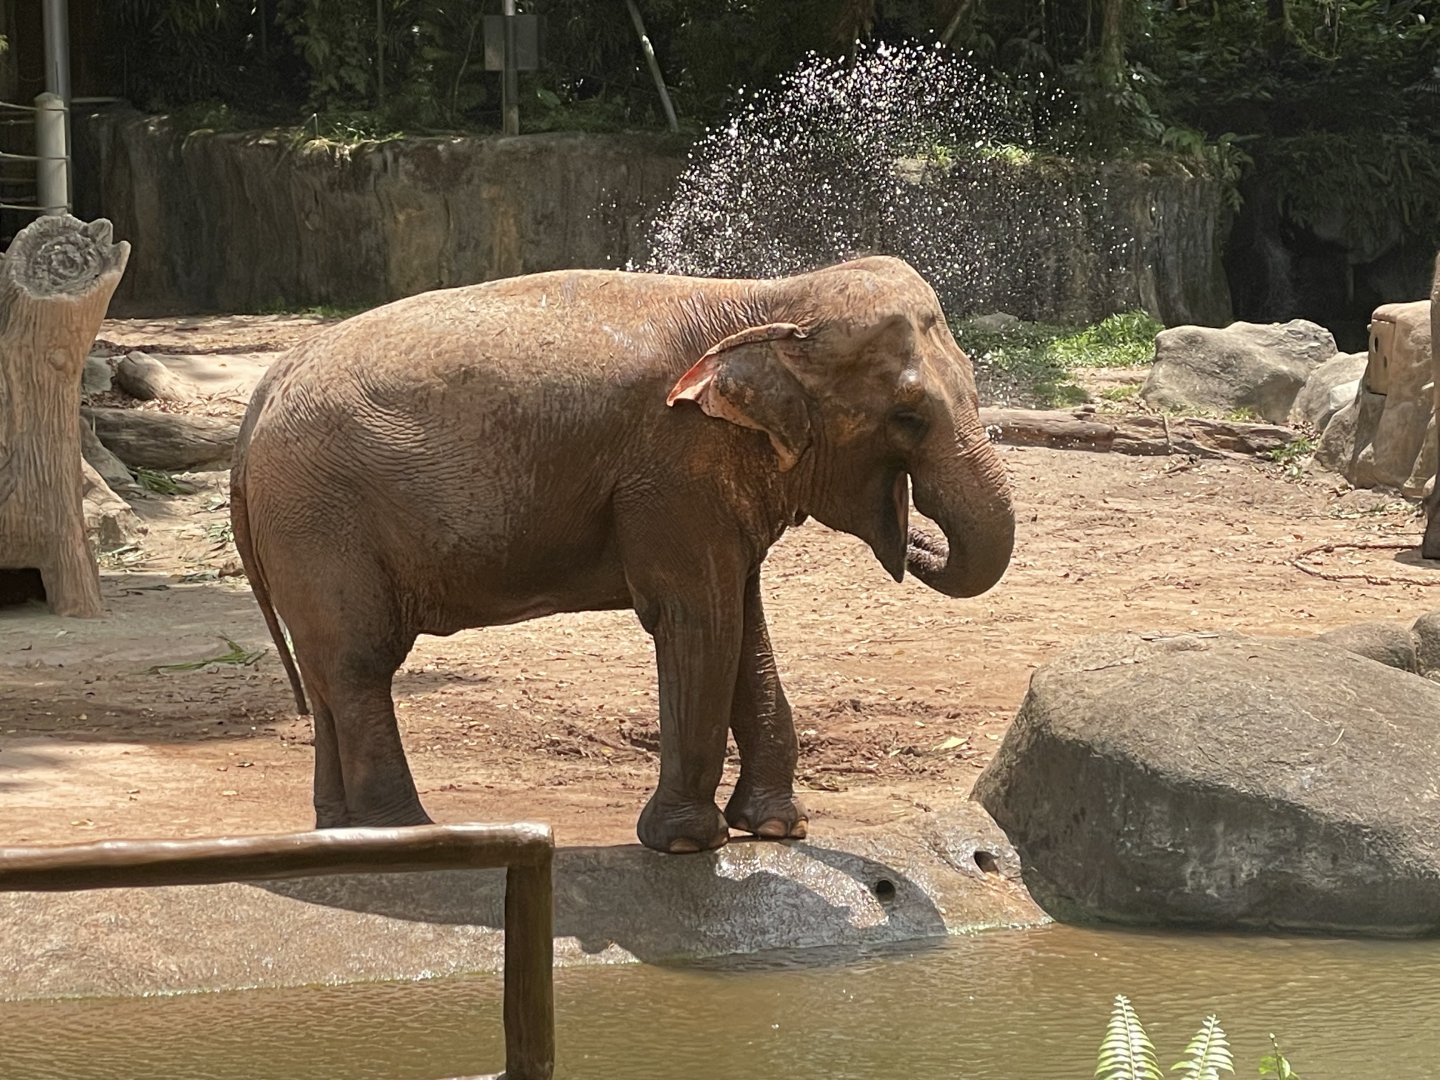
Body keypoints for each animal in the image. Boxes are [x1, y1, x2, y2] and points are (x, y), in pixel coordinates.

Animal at [230, 255, 1015, 853]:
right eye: (908, 418)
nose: (915, 537)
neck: (769, 299)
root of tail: (261, 398)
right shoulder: (672, 469)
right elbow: (700, 618)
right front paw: (689, 843)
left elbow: (744, 622)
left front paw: (776, 829)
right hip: (322, 518)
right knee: (360, 664)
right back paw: (410, 837)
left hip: (302, 526)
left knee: (328, 672)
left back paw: (339, 834)